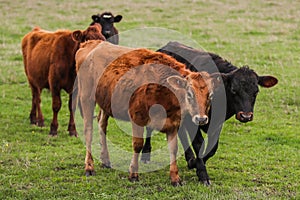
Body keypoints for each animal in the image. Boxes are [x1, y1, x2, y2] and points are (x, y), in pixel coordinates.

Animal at [75, 41, 220, 187]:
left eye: (211, 96)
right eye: (189, 94)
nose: (201, 119)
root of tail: (93, 44)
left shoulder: (173, 124)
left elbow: (173, 148)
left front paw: (175, 178)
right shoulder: (137, 118)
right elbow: (138, 144)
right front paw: (133, 174)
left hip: (105, 102)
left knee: (102, 124)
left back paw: (105, 160)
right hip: (86, 98)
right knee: (88, 131)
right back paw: (89, 167)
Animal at [141, 41, 278, 185]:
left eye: (256, 91)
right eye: (234, 90)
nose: (246, 116)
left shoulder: (217, 123)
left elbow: (212, 148)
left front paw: (195, 163)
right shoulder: (193, 120)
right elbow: (199, 144)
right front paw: (202, 173)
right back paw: (146, 154)